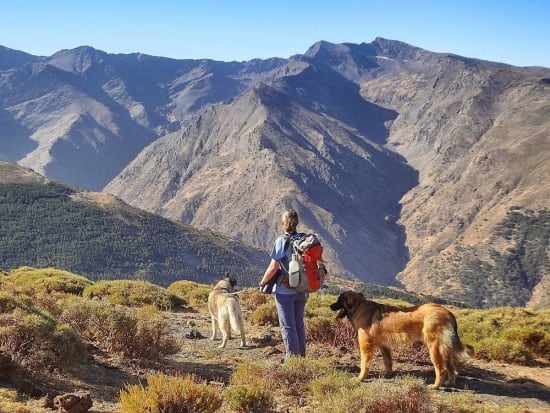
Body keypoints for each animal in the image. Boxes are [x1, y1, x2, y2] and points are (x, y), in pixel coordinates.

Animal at [332, 290, 474, 386]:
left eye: (339, 300)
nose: (330, 306)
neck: (359, 307)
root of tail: (447, 312)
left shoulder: (365, 346)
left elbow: (364, 365)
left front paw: (360, 378)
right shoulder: (384, 346)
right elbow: (388, 362)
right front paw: (387, 375)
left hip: (434, 347)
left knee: (441, 369)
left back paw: (435, 386)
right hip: (444, 348)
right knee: (450, 366)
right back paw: (450, 382)